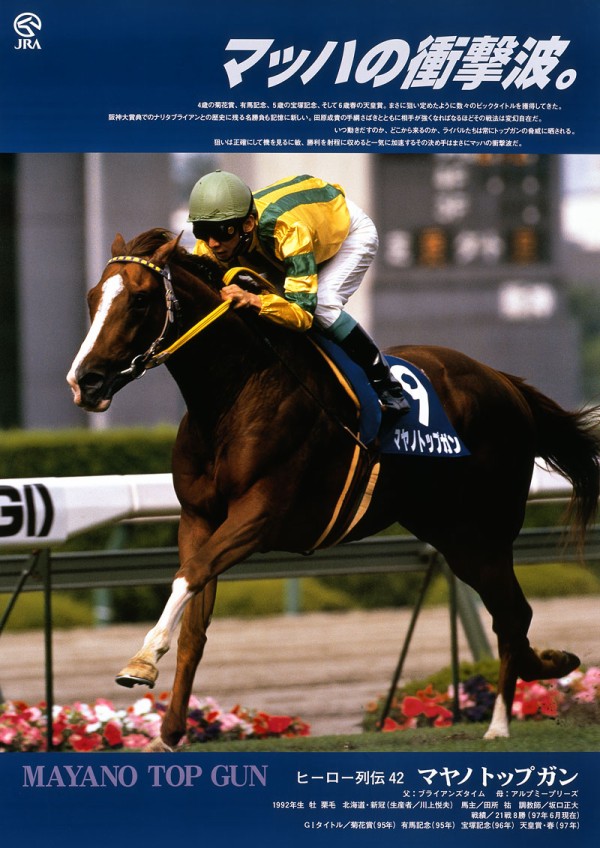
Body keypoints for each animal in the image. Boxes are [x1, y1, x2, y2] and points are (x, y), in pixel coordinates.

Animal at [67, 228, 600, 750]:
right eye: (93, 297)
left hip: (487, 530)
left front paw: (141, 661)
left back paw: (500, 723)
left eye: (139, 300)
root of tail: (506, 382)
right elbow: (194, 617)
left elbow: (188, 575)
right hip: (452, 534)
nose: (84, 381)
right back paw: (552, 663)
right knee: (514, 615)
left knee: (512, 615)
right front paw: (173, 730)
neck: (234, 393)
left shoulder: (260, 515)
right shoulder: (199, 518)